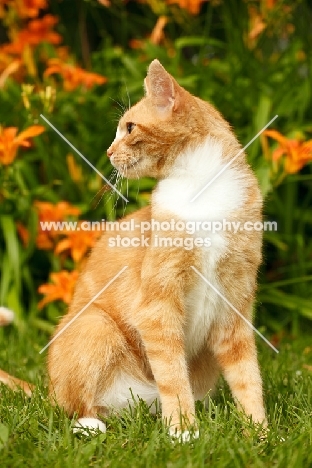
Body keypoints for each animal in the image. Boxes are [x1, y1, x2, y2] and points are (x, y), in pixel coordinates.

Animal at [47, 59, 266, 438]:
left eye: (129, 127)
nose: (108, 152)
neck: (200, 188)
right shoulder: (157, 306)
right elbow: (172, 374)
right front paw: (183, 431)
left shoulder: (235, 303)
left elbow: (247, 377)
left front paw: (262, 434)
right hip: (95, 324)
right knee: (76, 407)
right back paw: (91, 425)